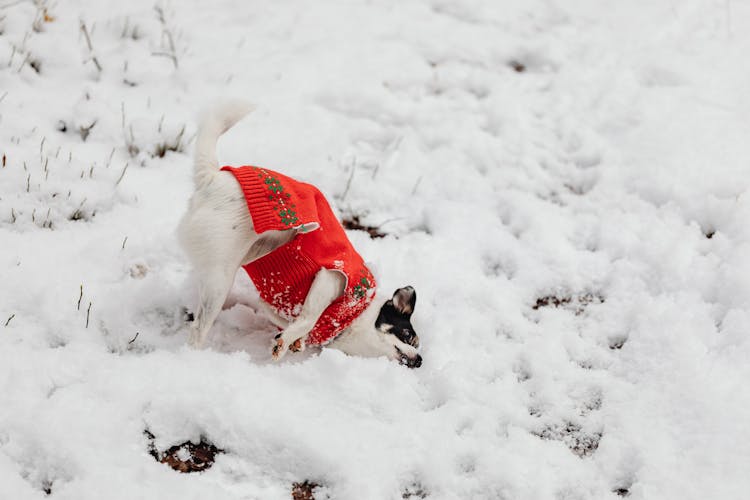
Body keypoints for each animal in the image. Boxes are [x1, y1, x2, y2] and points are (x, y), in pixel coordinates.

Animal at [178, 101, 424, 368]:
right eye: (408, 335)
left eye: (416, 343)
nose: (420, 360)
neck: (357, 314)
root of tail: (214, 178)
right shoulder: (332, 277)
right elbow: (309, 317)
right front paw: (287, 340)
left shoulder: (274, 304)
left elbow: (298, 322)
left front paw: (297, 340)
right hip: (220, 277)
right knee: (198, 329)